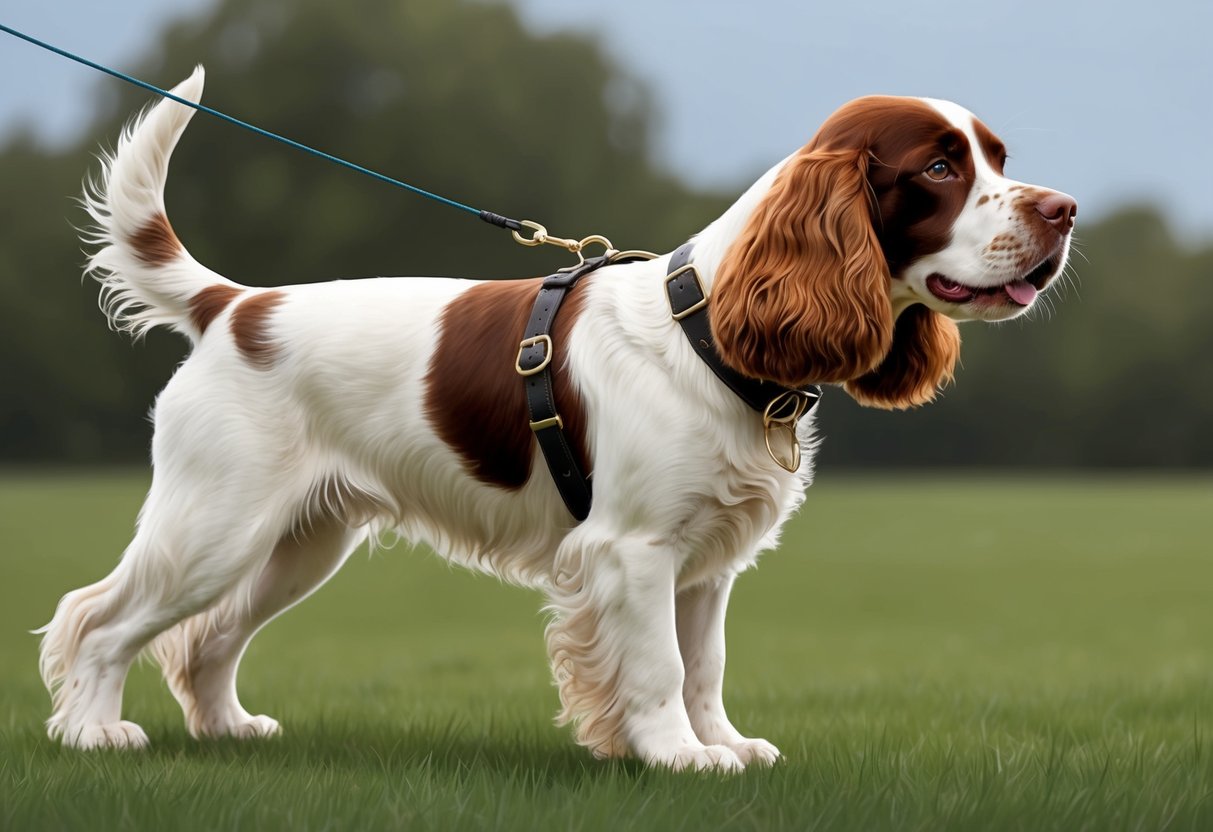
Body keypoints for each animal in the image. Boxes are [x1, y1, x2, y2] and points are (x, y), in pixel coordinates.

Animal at [35, 68, 1072, 771]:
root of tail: (238, 306)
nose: (1062, 210)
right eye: (937, 166)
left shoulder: (707, 564)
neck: (709, 329)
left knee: (205, 640)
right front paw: (677, 755)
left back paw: (227, 731)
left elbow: (704, 665)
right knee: (97, 617)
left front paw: (724, 743)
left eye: (999, 161)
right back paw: (92, 732)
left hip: (297, 541)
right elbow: (656, 668)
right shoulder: (634, 550)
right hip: (214, 524)